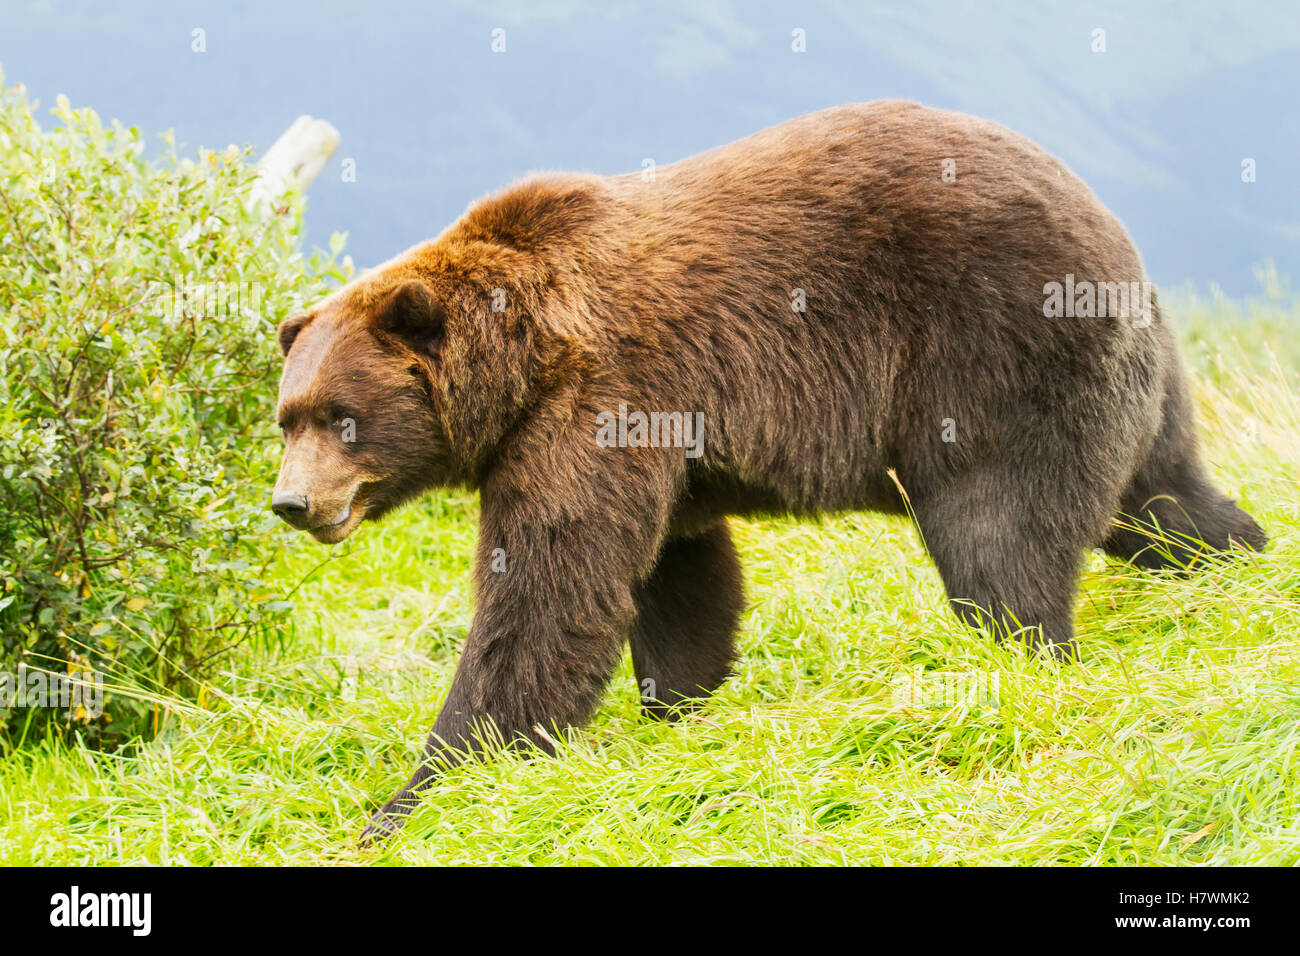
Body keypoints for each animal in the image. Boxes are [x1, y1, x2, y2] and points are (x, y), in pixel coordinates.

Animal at [270, 101, 1266, 842]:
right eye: (286, 417)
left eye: (341, 418)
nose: (290, 503)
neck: (521, 366)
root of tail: (1104, 223)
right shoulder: (666, 451)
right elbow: (679, 581)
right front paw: (681, 707)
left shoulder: (594, 407)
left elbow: (548, 594)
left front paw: (414, 799)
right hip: (1136, 377)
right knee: (1163, 496)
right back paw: (1242, 564)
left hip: (994, 355)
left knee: (1000, 539)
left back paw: (1015, 660)